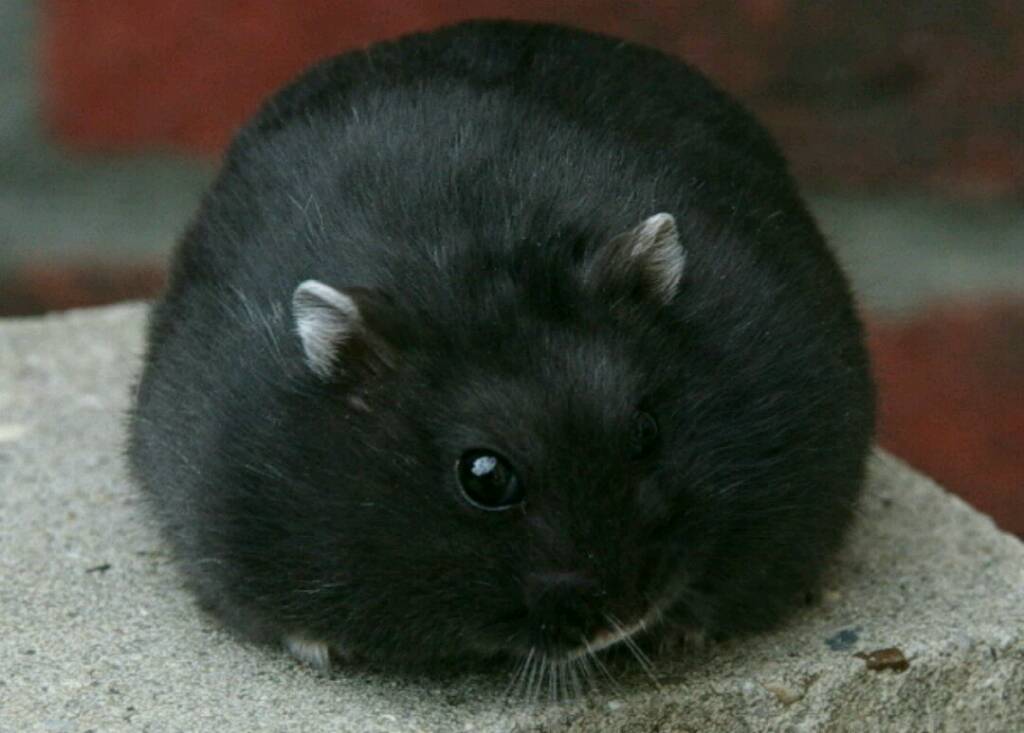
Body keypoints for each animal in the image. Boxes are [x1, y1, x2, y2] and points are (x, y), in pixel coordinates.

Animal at [127, 20, 875, 676]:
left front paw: (679, 631)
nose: (627, 617)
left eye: (646, 430)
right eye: (484, 476)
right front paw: (322, 648)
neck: (469, 261)